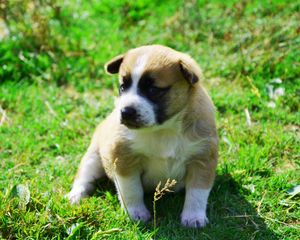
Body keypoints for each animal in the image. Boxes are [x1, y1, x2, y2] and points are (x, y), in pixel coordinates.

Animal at [67, 44, 218, 227]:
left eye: (153, 89)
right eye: (122, 87)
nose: (125, 112)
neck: (164, 129)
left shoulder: (202, 159)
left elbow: (197, 193)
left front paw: (194, 217)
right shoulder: (124, 159)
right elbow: (132, 190)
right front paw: (136, 214)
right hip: (93, 157)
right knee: (84, 176)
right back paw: (76, 195)